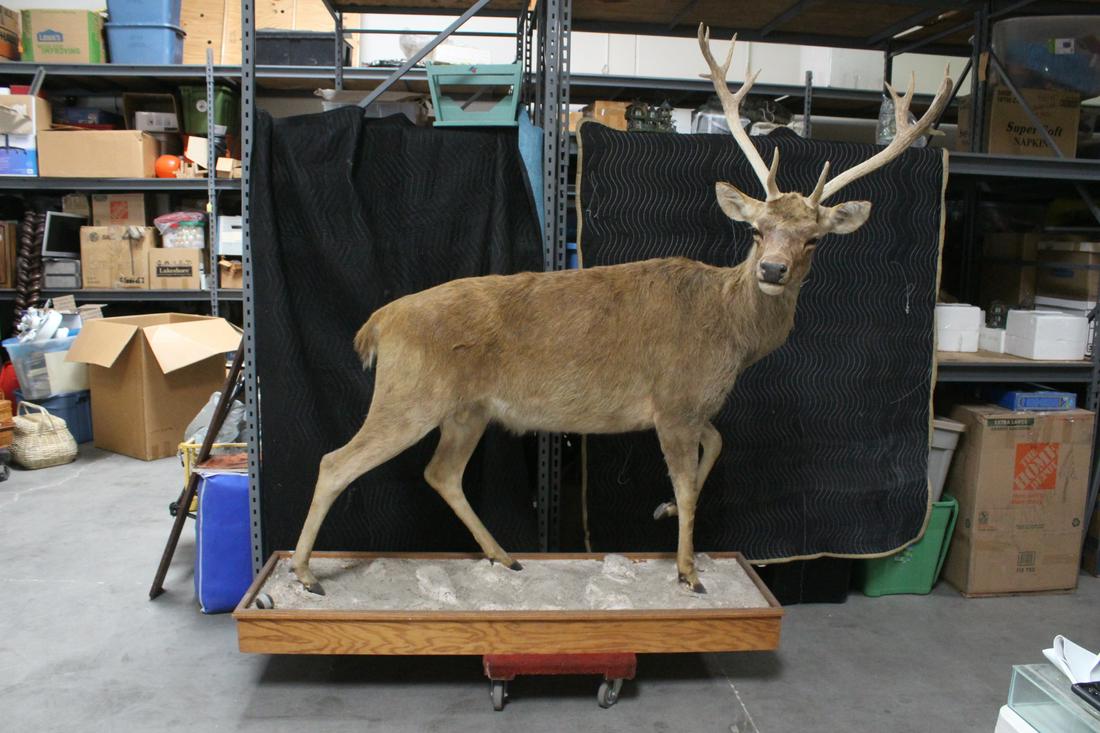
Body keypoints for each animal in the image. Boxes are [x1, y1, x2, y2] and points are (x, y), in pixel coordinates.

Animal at [291, 24, 952, 595]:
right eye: (757, 230)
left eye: (813, 239)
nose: (772, 271)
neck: (732, 337)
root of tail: (377, 325)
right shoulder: (675, 400)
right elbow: (689, 480)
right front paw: (688, 571)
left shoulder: (691, 406)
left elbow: (717, 446)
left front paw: (661, 512)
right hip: (410, 393)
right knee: (334, 461)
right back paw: (303, 576)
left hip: (468, 409)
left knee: (440, 473)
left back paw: (505, 558)